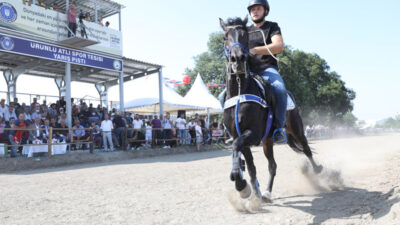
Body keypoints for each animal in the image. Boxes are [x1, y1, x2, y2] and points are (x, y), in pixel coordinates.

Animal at [220, 16, 324, 202]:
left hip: (296, 129)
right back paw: (267, 193)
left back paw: (317, 169)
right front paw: (247, 188)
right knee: (272, 165)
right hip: (268, 139)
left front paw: (241, 184)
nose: (238, 59)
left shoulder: (252, 133)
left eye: (245, 35)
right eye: (225, 37)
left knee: (306, 148)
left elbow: (238, 149)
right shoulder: (239, 136)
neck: (240, 92)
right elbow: (248, 164)